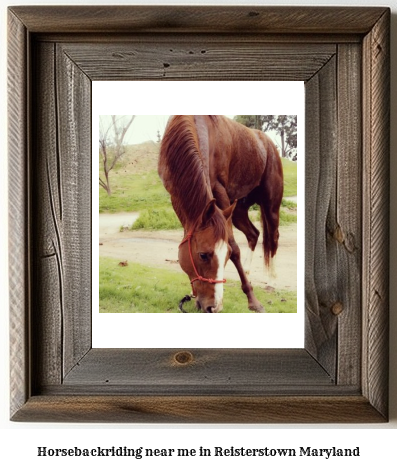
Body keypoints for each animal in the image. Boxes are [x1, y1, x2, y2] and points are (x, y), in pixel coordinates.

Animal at [156, 115, 284, 314]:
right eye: (203, 255)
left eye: (226, 254)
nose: (213, 307)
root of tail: (268, 144)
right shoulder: (176, 197)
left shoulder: (220, 191)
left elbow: (235, 247)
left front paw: (253, 300)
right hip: (237, 210)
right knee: (253, 234)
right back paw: (247, 271)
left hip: (270, 207)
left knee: (273, 238)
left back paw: (271, 280)